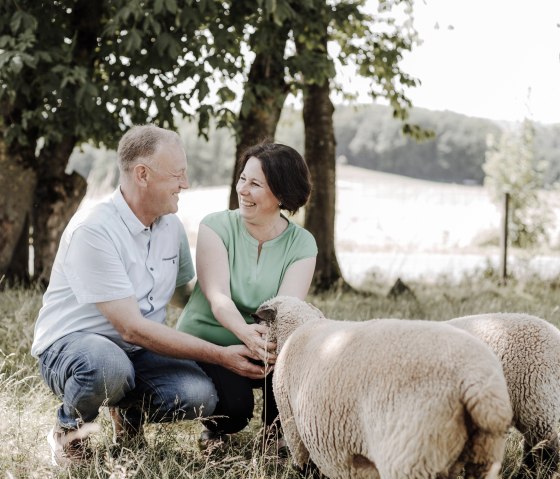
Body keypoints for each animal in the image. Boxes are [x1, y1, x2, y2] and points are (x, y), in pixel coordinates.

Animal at [254, 296, 512, 479]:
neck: (297, 330)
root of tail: (475, 382)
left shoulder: (291, 422)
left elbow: (305, 464)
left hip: (410, 453)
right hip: (482, 453)